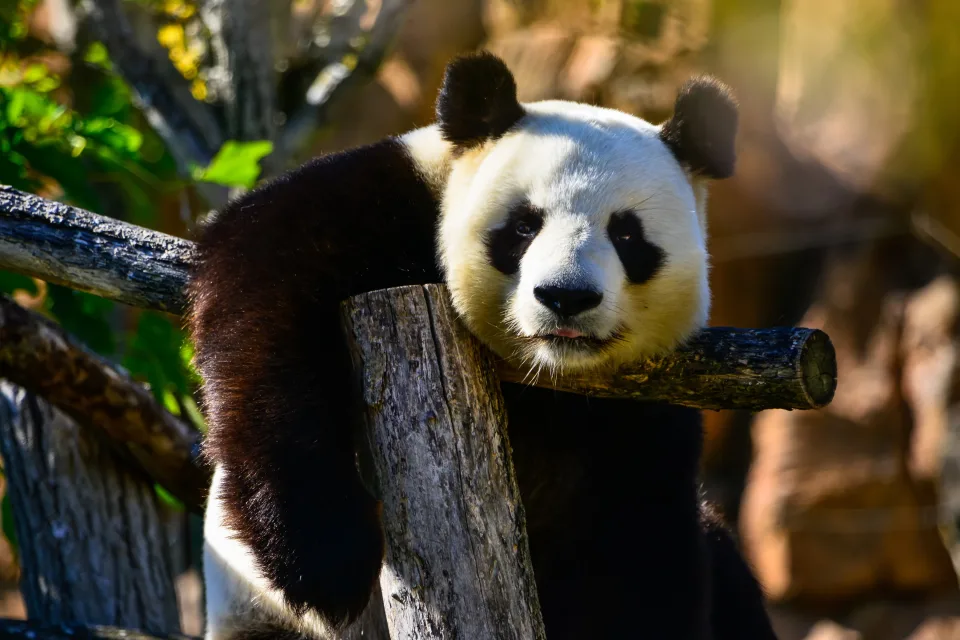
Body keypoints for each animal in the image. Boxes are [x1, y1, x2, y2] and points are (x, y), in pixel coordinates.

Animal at [189, 51, 778, 640]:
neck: (545, 377)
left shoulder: (643, 420)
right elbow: (263, 303)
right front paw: (330, 563)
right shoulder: (382, 205)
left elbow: (639, 554)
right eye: (523, 226)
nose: (565, 296)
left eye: (627, 234)